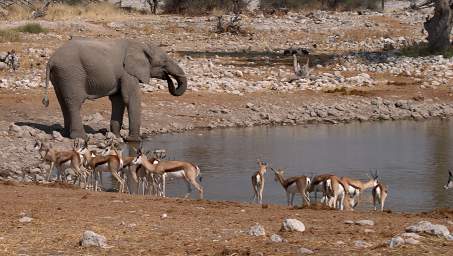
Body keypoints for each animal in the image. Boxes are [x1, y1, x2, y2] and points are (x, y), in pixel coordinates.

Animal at [40, 38, 185, 142]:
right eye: (164, 62)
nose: (168, 78)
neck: (141, 45)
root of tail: (51, 60)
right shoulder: (127, 73)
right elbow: (130, 98)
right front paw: (134, 140)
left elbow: (118, 100)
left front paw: (117, 137)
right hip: (71, 74)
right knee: (74, 102)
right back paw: (81, 137)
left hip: (60, 75)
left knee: (63, 102)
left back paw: (65, 134)